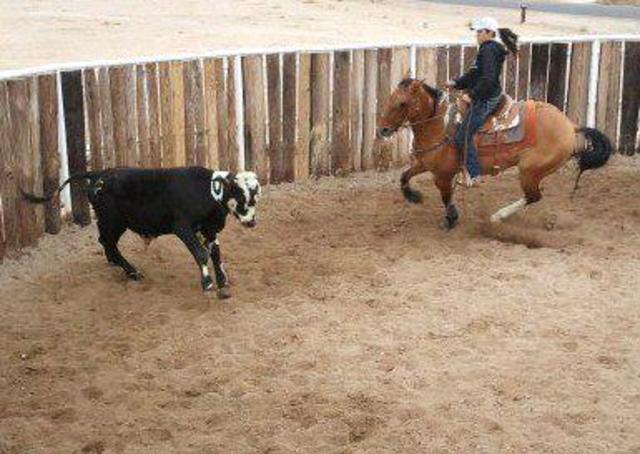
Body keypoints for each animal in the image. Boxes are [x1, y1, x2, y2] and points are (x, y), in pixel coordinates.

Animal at [22, 167, 261, 299]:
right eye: (240, 195)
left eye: (255, 197)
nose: (251, 222)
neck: (207, 191)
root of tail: (101, 173)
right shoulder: (183, 228)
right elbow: (202, 254)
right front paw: (208, 284)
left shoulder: (209, 228)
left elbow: (216, 255)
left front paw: (223, 284)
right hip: (113, 222)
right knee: (108, 243)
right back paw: (131, 271)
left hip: (112, 223)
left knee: (106, 244)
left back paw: (124, 268)